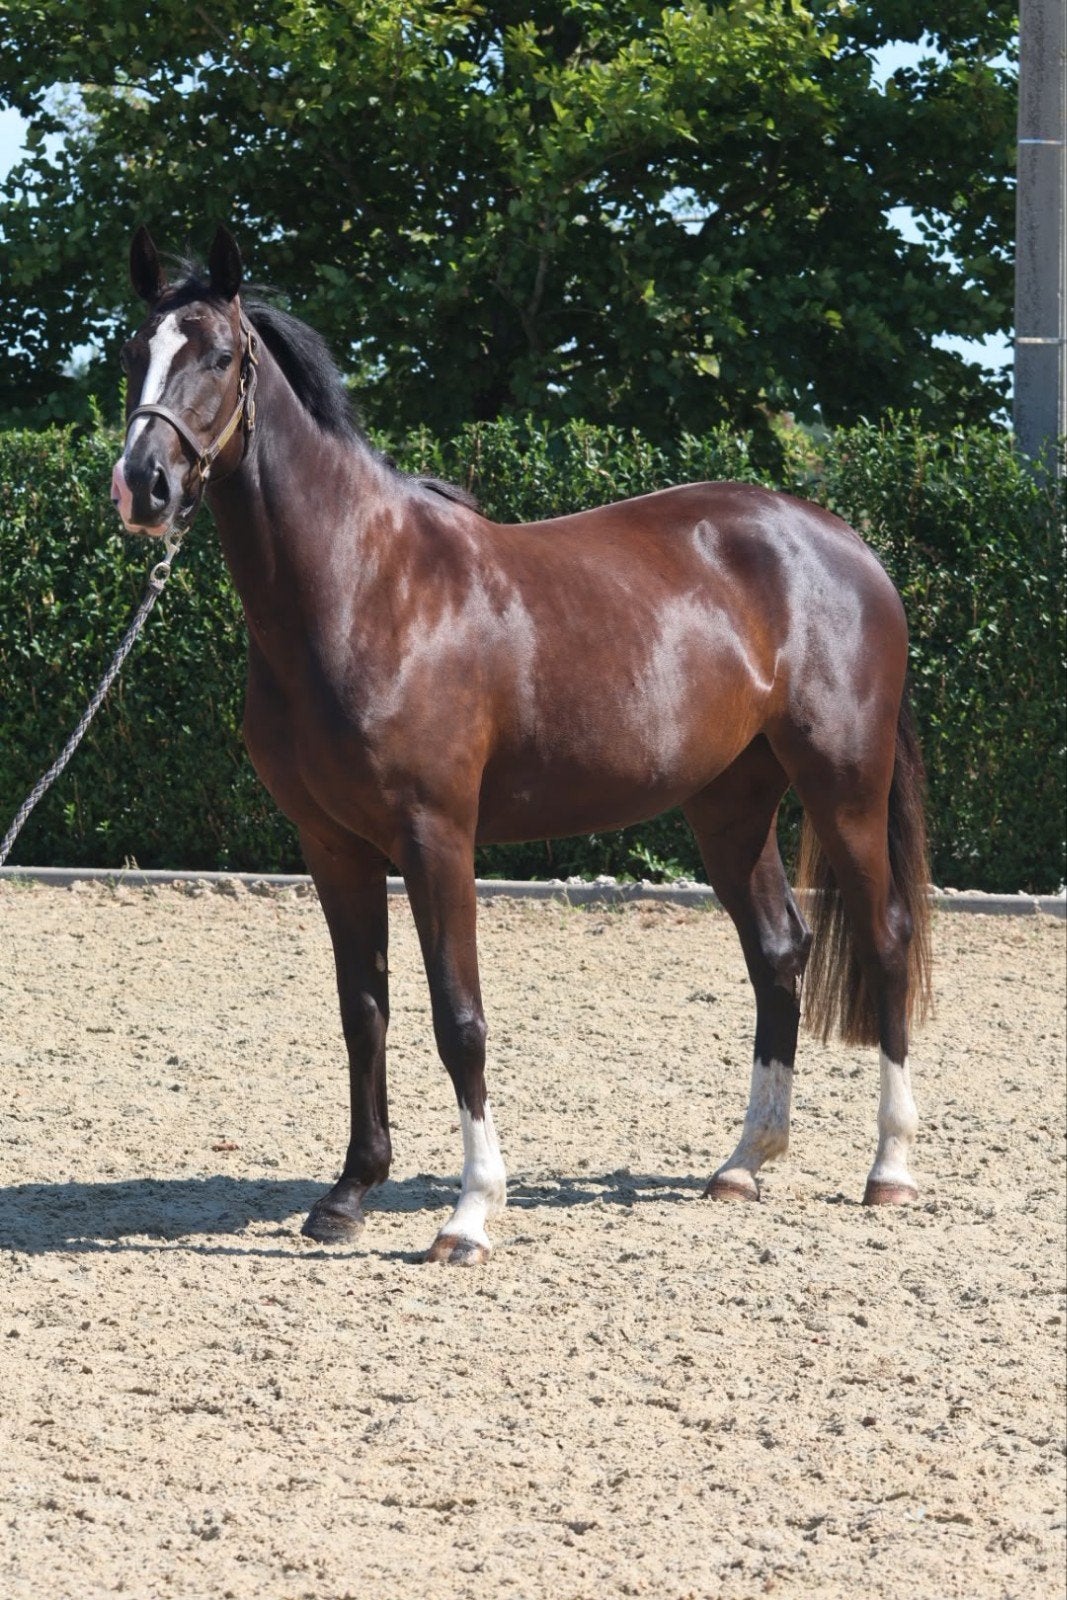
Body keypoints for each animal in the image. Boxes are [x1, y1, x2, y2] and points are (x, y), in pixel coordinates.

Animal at [111, 225, 932, 1264]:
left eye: (218, 355)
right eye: (133, 354)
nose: (143, 486)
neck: (361, 587)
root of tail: (842, 543)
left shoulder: (436, 838)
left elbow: (458, 1019)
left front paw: (468, 1215)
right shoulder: (331, 847)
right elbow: (362, 1011)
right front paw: (348, 1194)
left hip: (844, 785)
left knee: (885, 938)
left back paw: (890, 1168)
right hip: (729, 803)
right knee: (778, 951)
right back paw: (743, 1163)